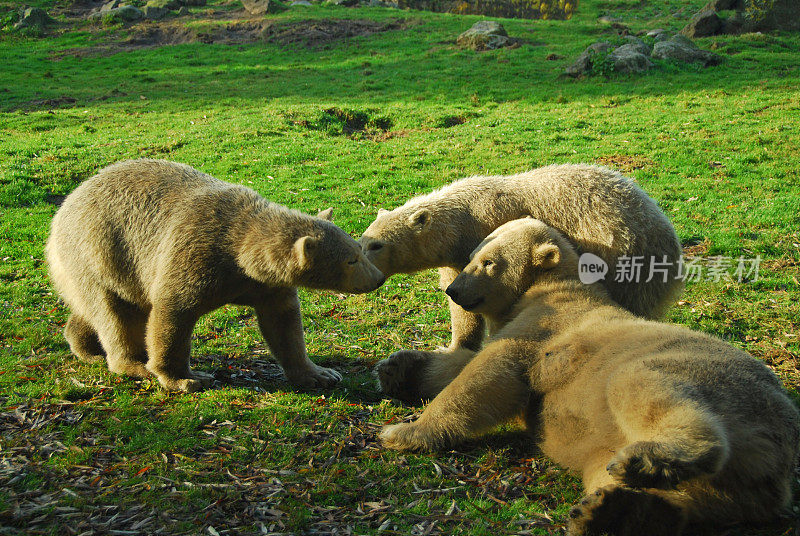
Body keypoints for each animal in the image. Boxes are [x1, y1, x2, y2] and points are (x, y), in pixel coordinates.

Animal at [46, 161, 384, 392]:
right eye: (352, 259)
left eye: (359, 247)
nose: (379, 278)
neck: (239, 247)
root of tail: (63, 209)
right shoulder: (196, 253)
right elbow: (172, 311)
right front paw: (184, 378)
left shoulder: (264, 284)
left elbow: (283, 322)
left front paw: (320, 373)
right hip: (99, 252)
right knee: (113, 313)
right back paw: (132, 364)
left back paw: (85, 345)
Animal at [362, 163, 680, 402]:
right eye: (363, 240)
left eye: (376, 245)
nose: (366, 272)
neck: (461, 218)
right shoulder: (456, 258)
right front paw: (448, 347)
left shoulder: (492, 233)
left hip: (625, 263)